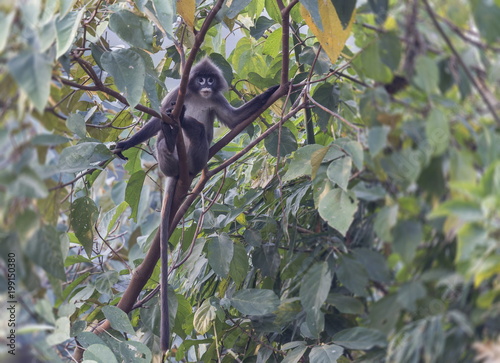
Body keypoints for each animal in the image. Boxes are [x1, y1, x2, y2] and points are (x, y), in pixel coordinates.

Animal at [112, 57, 278, 352]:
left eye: (210, 80)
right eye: (199, 79)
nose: (206, 84)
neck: (198, 96)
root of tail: (179, 173)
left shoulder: (216, 99)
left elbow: (234, 120)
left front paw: (273, 90)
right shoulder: (176, 95)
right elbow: (156, 118)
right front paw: (127, 142)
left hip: (198, 158)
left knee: (199, 131)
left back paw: (181, 128)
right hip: (169, 161)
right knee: (162, 137)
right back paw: (170, 134)